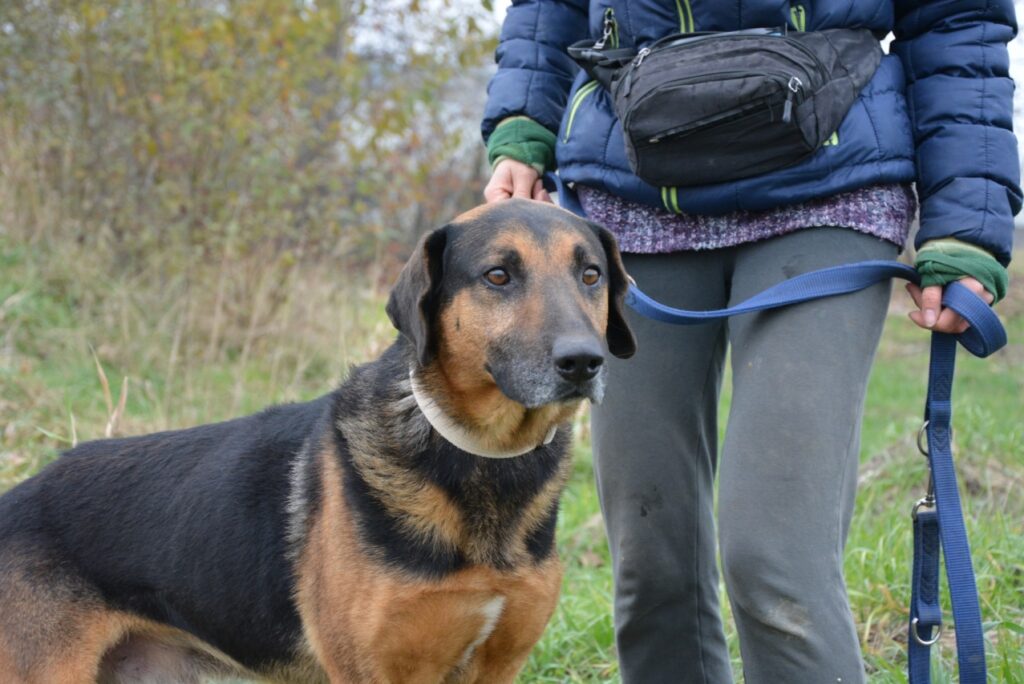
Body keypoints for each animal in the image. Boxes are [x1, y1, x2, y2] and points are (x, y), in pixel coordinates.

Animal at [0, 198, 634, 684]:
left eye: (591, 275)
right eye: (497, 275)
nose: (584, 361)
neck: (479, 459)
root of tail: (16, 498)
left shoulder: (498, 665)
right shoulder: (375, 671)